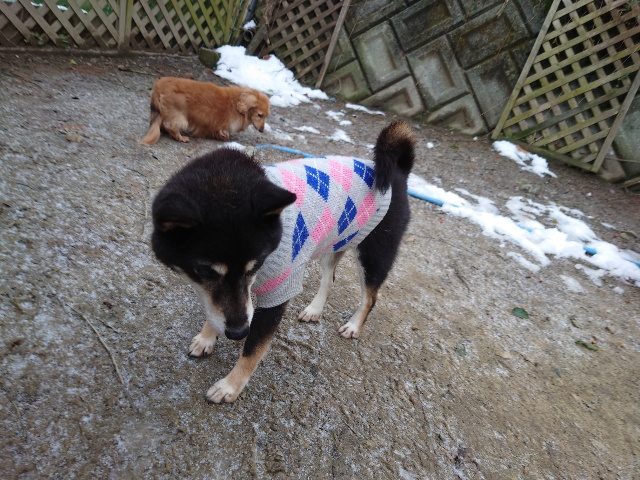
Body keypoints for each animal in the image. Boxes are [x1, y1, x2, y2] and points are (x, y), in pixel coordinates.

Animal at [139, 77, 270, 145]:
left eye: (266, 116)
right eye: (260, 115)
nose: (262, 130)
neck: (236, 105)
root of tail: (159, 85)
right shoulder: (222, 126)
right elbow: (223, 133)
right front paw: (223, 138)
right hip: (180, 117)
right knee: (170, 126)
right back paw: (181, 137)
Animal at [151, 121, 415, 403]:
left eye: (257, 264)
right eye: (204, 271)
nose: (237, 333)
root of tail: (398, 172)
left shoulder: (277, 293)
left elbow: (252, 350)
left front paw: (230, 386)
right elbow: (217, 310)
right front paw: (207, 337)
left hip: (373, 255)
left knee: (370, 297)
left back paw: (354, 325)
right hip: (335, 241)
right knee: (329, 279)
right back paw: (315, 310)